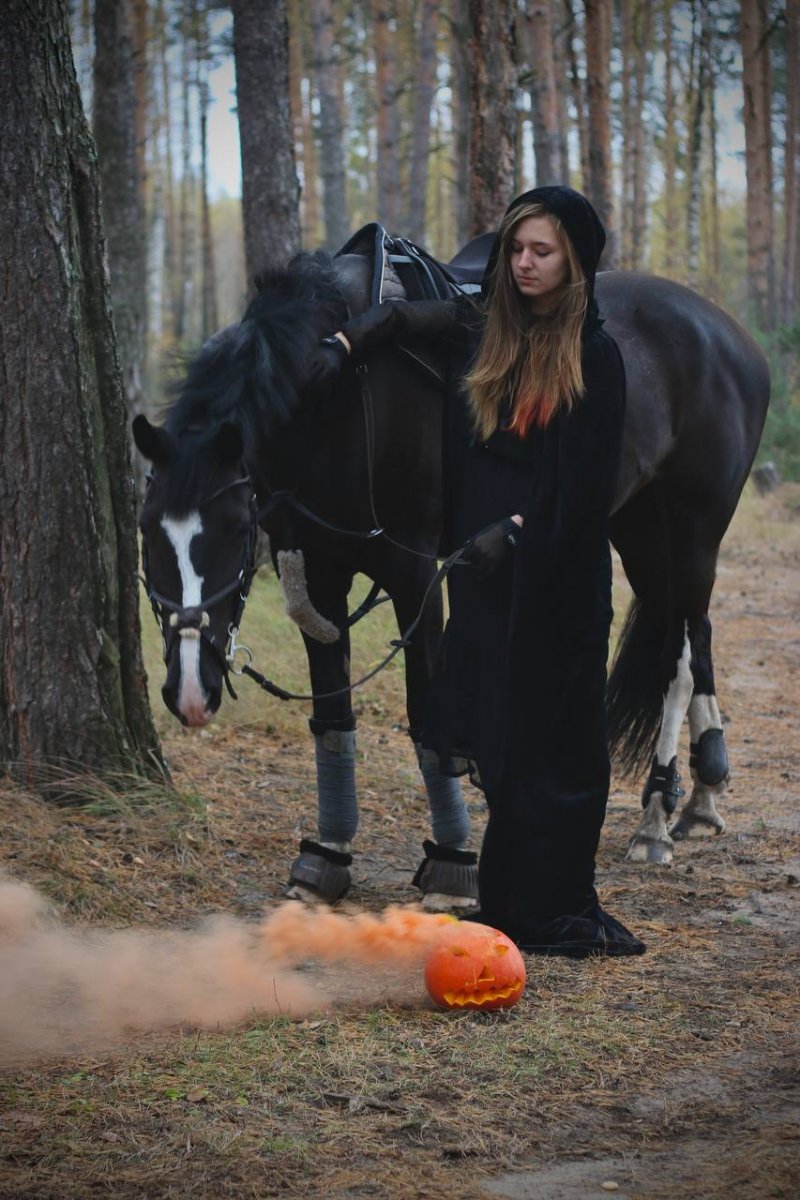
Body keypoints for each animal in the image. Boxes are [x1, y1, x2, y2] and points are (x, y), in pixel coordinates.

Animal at [132, 242, 769, 902]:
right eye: (146, 529)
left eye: (236, 529)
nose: (190, 692)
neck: (341, 400)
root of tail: (730, 335)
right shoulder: (319, 573)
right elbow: (332, 716)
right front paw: (327, 856)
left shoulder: (413, 571)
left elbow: (425, 712)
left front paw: (450, 864)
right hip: (638, 527)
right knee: (693, 631)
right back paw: (701, 794)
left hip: (693, 528)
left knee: (678, 653)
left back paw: (654, 818)